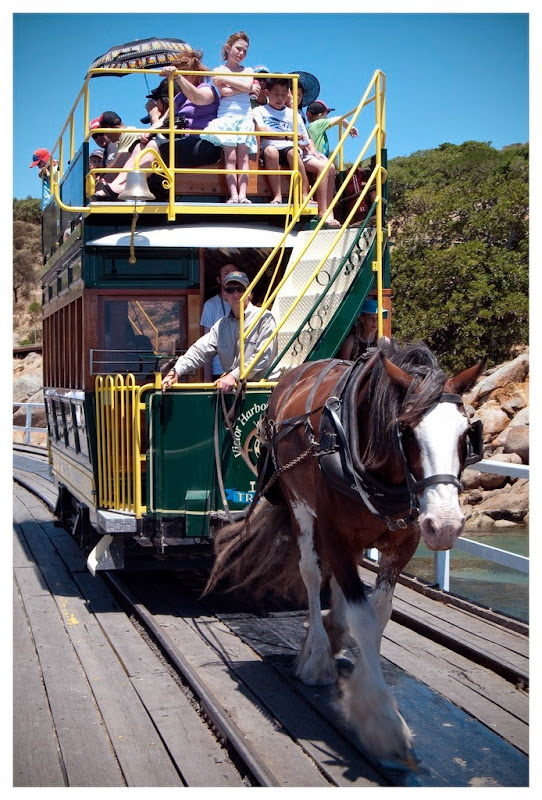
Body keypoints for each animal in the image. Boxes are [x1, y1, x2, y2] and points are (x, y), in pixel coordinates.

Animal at [205, 339, 485, 762]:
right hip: (299, 508)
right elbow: (363, 617)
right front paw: (383, 719)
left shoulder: (404, 542)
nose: (446, 525)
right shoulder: (333, 532)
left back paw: (333, 632)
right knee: (310, 572)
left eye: (465, 433)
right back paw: (318, 656)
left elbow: (379, 613)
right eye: (406, 430)